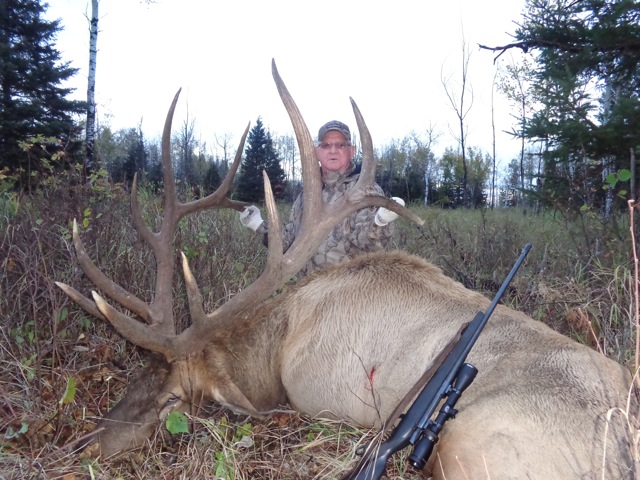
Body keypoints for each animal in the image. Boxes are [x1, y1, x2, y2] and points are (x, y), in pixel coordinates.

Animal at [56, 61, 637, 479]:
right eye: (139, 373)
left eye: (174, 398)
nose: (84, 446)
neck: (278, 344)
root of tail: (622, 452)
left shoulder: (317, 397)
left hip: (474, 445)